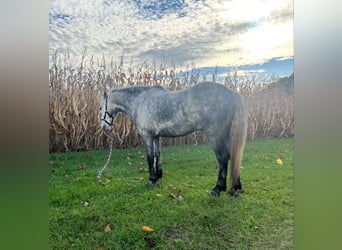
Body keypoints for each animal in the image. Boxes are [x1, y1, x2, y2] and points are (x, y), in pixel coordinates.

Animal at [99, 82, 246, 197]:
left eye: (100, 107)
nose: (104, 127)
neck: (140, 101)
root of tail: (232, 94)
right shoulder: (156, 136)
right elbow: (158, 156)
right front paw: (158, 176)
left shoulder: (147, 135)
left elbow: (150, 158)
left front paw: (151, 180)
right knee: (232, 157)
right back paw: (235, 188)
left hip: (216, 135)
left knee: (223, 159)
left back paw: (217, 189)